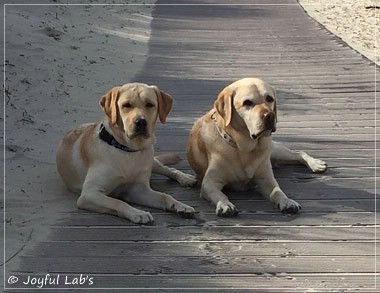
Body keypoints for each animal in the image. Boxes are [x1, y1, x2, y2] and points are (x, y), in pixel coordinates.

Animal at [58, 82, 197, 224]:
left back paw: (185, 179)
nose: (141, 122)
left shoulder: (138, 189)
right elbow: (118, 202)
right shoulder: (89, 194)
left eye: (150, 104)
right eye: (126, 105)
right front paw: (138, 213)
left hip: (152, 161)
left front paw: (179, 205)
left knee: (169, 169)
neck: (128, 151)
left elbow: (165, 196)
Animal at [187, 78, 326, 217]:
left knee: (298, 153)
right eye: (247, 103)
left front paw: (287, 202)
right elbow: (220, 194)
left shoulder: (266, 179)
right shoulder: (209, 182)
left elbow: (277, 191)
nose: (270, 115)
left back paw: (315, 164)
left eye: (269, 99)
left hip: (274, 150)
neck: (244, 149)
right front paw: (225, 205)